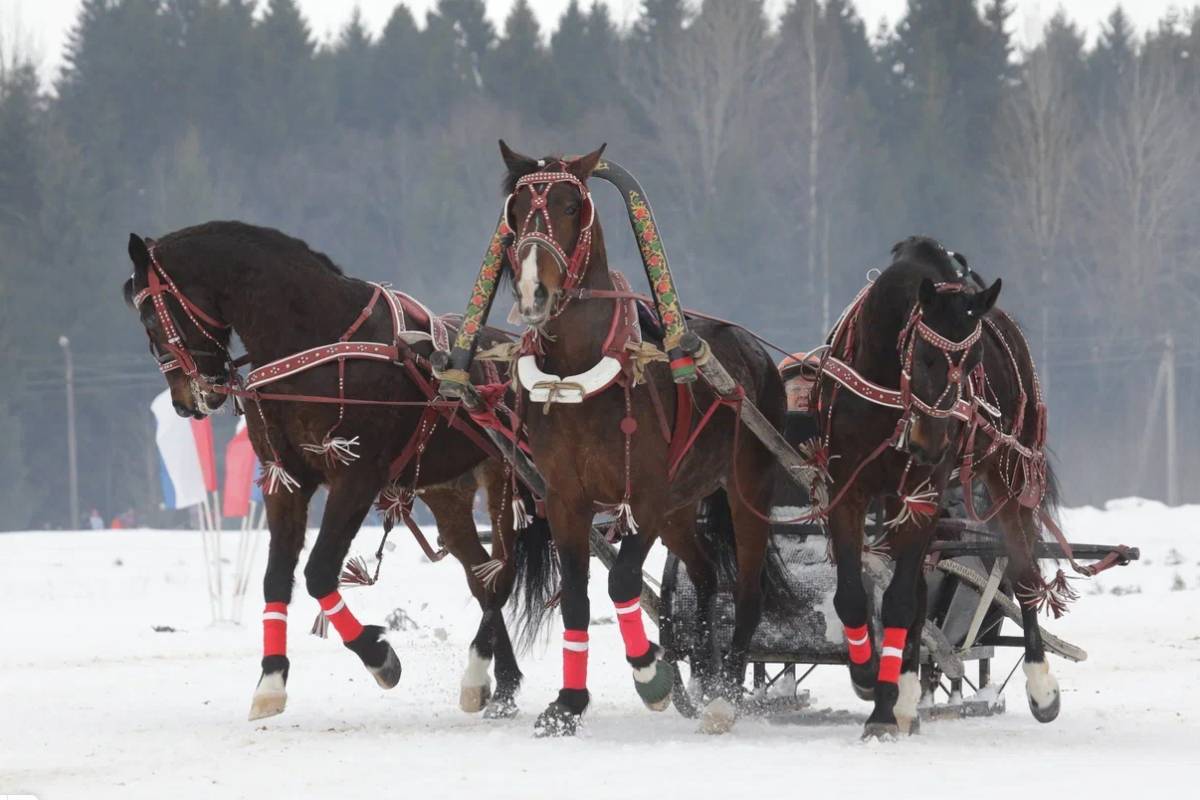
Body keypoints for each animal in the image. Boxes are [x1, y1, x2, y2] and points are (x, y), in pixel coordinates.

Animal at [121, 221, 552, 724]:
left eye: (150, 318)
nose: (185, 401)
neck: (311, 340)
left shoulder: (357, 475)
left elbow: (319, 571)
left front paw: (378, 655)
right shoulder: (283, 480)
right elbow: (276, 577)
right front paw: (271, 680)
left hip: (505, 477)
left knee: (500, 576)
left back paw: (477, 671)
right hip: (447, 490)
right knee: (481, 577)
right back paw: (501, 683)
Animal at [492, 145, 792, 738]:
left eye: (571, 206)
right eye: (514, 211)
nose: (535, 293)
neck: (578, 374)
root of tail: (754, 354)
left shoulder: (647, 496)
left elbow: (623, 580)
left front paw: (651, 671)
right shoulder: (565, 498)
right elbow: (578, 598)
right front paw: (568, 704)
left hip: (747, 486)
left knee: (747, 588)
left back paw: (724, 696)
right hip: (681, 508)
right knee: (704, 572)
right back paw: (706, 676)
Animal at [811, 236, 1065, 738]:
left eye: (974, 361)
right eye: (926, 357)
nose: (933, 441)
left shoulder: (925, 493)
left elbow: (898, 600)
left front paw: (882, 711)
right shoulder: (848, 487)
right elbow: (853, 593)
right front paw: (868, 674)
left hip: (1009, 474)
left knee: (1023, 568)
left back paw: (1040, 684)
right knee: (922, 592)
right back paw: (906, 689)